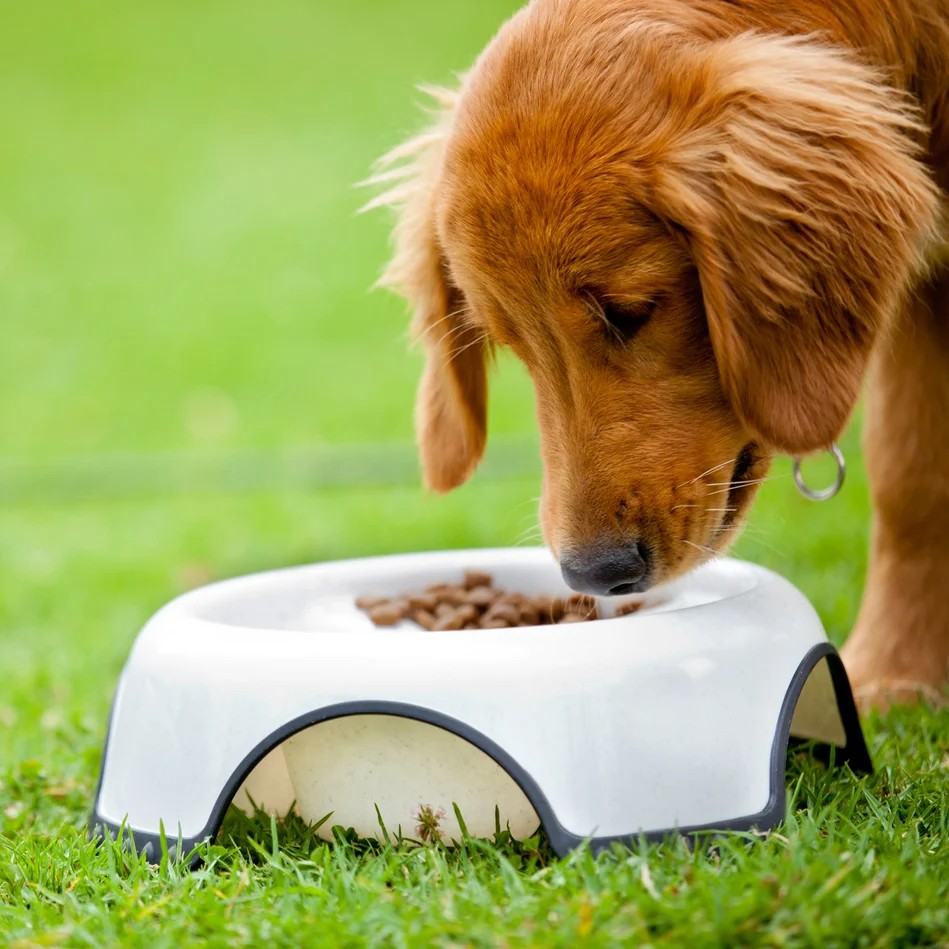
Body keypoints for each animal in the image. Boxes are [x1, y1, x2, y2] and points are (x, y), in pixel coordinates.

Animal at [368, 0, 948, 708]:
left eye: (630, 311)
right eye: (510, 342)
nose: (596, 574)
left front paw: (894, 671)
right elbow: (910, 475)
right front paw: (899, 671)